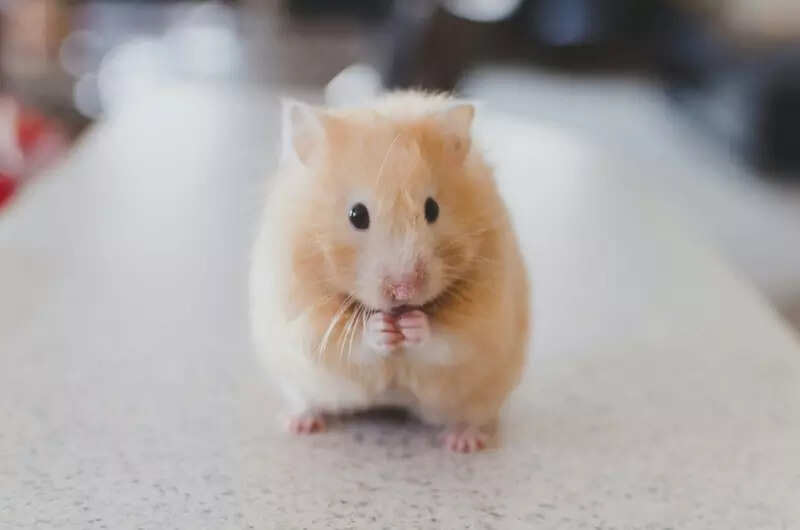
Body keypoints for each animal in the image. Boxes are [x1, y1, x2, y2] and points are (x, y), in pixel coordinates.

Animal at [249, 91, 530, 452]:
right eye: (357, 214)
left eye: (432, 209)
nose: (404, 290)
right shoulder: (304, 315)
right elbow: (347, 341)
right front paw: (382, 329)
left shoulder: (483, 318)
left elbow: (447, 339)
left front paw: (412, 325)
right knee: (306, 400)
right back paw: (299, 423)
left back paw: (463, 442)